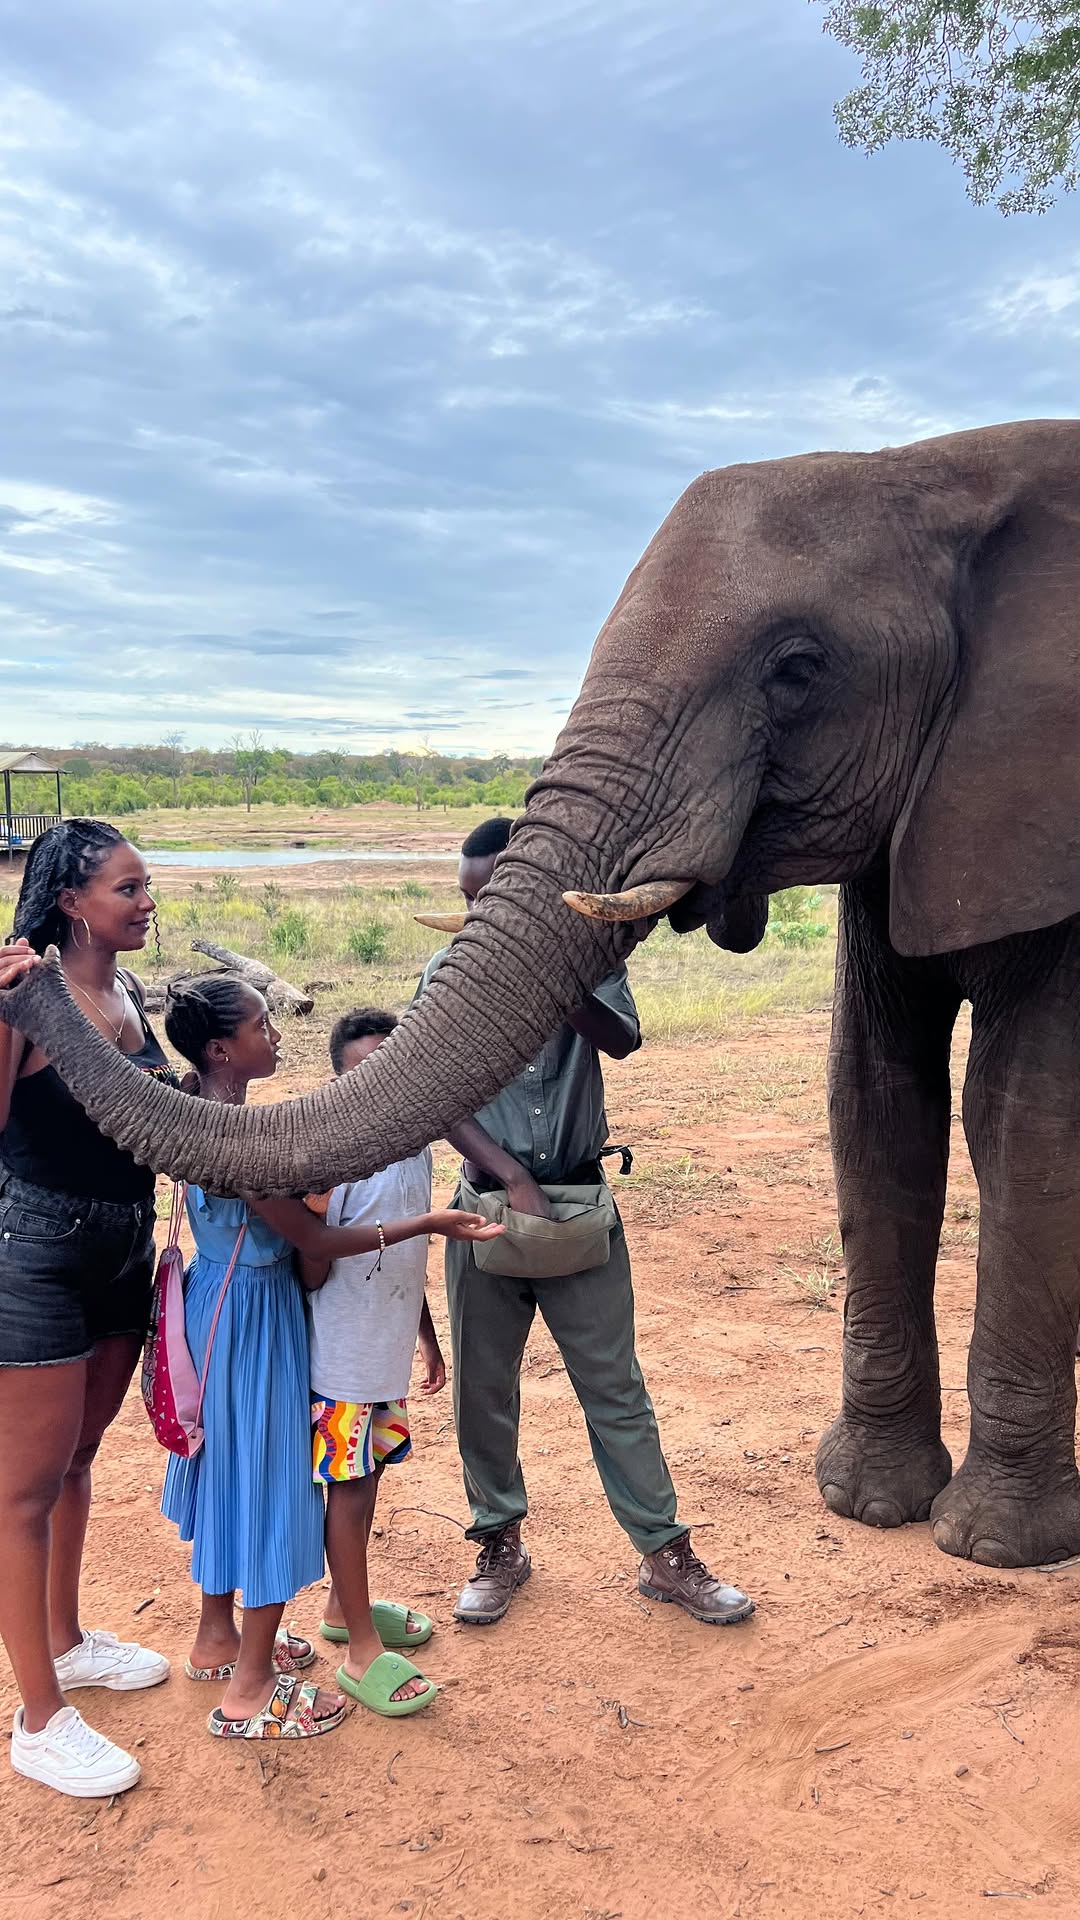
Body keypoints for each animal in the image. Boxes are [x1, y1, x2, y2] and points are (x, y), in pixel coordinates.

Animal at [2, 417, 1079, 1572]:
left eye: (798, 670)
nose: (25, 962)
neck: (932, 465)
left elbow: (1022, 1118)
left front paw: (996, 1547)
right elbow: (875, 1099)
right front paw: (870, 1503)